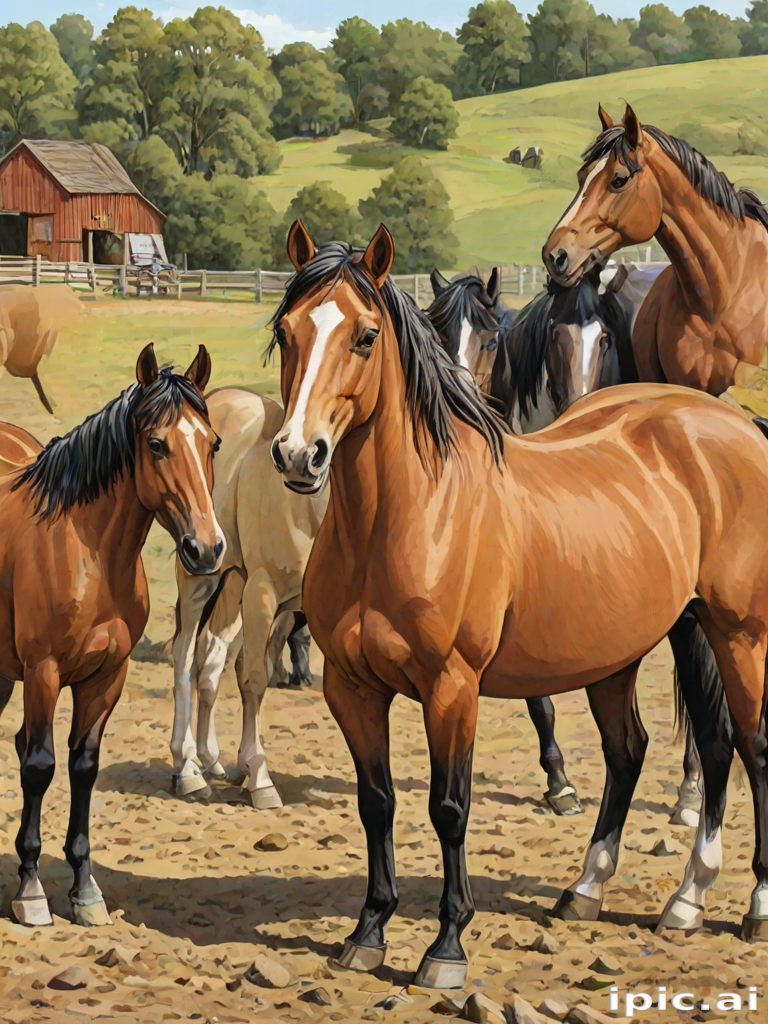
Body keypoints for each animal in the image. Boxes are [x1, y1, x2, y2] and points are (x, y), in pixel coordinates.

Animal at [0, 343, 222, 927]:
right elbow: (39, 765)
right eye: (156, 444)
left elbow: (83, 766)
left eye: (212, 443)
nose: (207, 549)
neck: (87, 553)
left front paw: (84, 890)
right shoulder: (43, 672)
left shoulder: (107, 676)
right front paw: (30, 891)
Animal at [170, 387, 327, 806]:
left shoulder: (288, 611)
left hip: (233, 587)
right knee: (185, 655)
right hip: (201, 580)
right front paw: (260, 779)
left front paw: (244, 764)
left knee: (211, 655)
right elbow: (253, 679)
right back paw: (187, 768)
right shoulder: (262, 593)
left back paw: (210, 760)